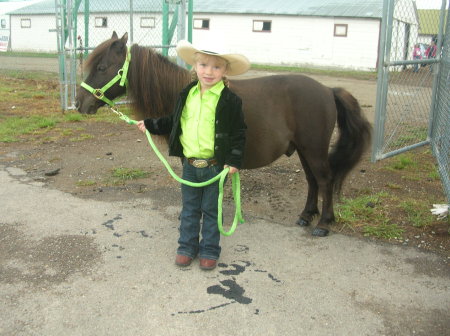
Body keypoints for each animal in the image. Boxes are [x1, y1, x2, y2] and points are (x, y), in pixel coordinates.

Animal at [76, 31, 372, 236]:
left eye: (101, 67)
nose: (80, 103)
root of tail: (328, 90)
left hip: (314, 148)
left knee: (325, 180)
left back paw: (323, 223)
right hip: (303, 149)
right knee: (313, 181)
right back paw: (306, 215)